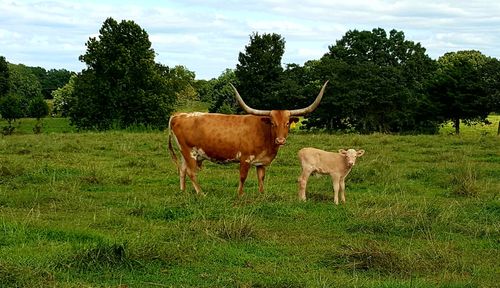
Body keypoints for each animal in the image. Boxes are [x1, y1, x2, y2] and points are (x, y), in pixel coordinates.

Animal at [167, 81, 328, 196]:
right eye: (273, 123)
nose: (280, 140)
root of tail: (178, 115)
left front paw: (262, 194)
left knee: (182, 170)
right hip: (189, 152)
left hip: (185, 153)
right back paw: (201, 193)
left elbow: (261, 177)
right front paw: (240, 194)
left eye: (287, 123)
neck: (264, 134)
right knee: (191, 172)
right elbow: (243, 177)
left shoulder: (261, 162)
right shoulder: (245, 158)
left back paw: (183, 191)